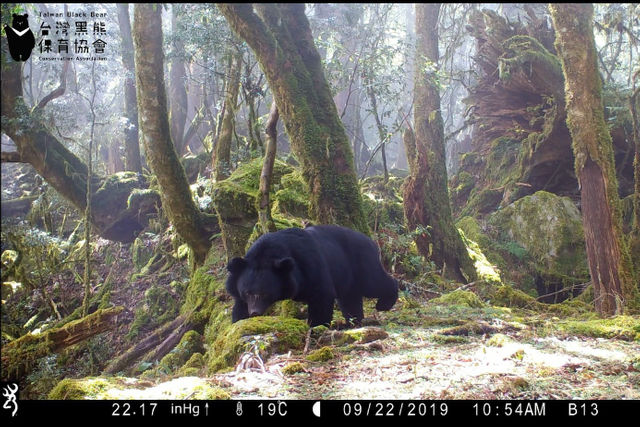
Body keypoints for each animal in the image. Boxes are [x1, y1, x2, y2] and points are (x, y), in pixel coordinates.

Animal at [225, 225, 398, 327]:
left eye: (265, 293)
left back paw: (384, 303)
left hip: (360, 262)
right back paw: (354, 321)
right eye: (247, 292)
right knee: (350, 297)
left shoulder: (309, 264)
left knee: (374, 283)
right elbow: (239, 306)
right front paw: (239, 321)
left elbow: (321, 294)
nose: (255, 312)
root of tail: (371, 241)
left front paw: (316, 326)